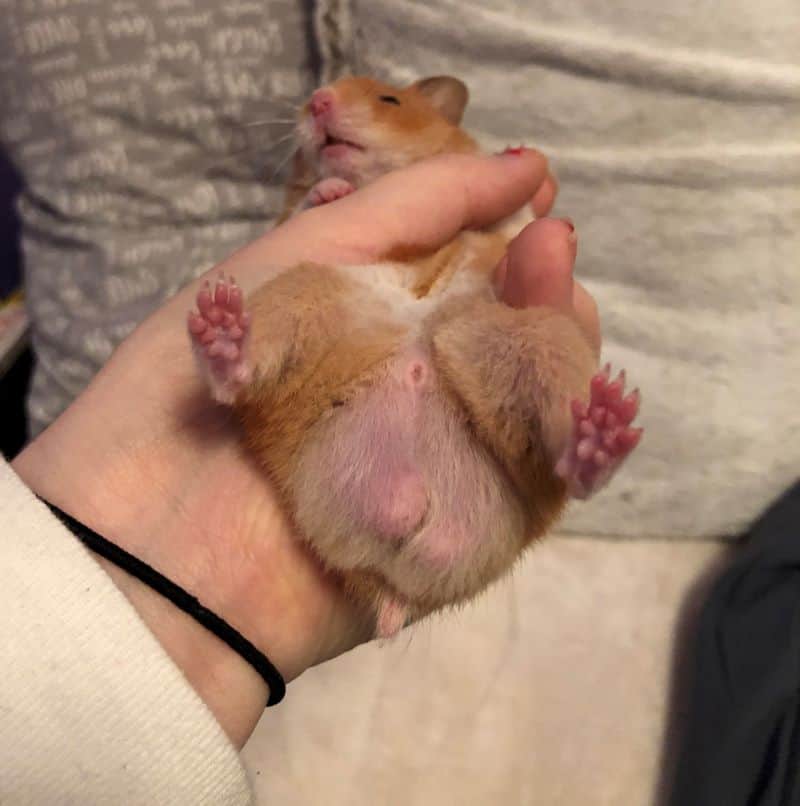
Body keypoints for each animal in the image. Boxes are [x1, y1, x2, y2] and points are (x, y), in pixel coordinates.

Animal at [188, 76, 642, 638]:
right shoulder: (285, 222)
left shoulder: (507, 219)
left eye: (390, 100)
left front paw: (517, 153)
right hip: (308, 293)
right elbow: (304, 207)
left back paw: (604, 425)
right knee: (241, 373)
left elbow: (513, 215)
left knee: (567, 458)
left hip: (533, 339)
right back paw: (221, 326)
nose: (316, 101)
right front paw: (333, 191)